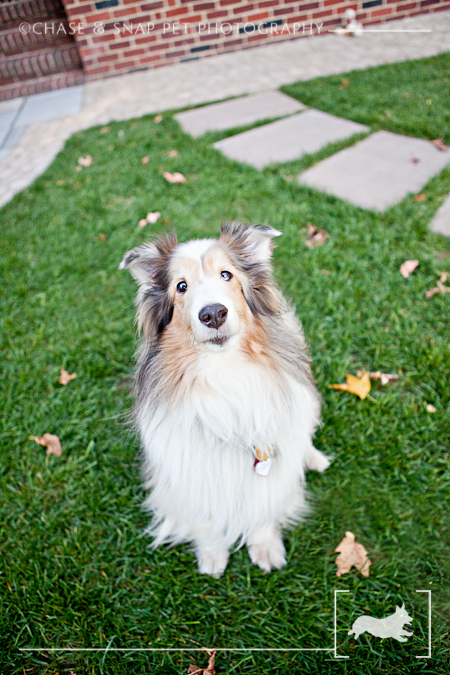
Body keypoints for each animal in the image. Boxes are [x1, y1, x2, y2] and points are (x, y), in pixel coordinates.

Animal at [120, 222, 330, 576]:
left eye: (226, 275)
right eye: (181, 286)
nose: (213, 314)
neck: (223, 372)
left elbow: (264, 504)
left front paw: (266, 547)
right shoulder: (193, 468)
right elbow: (207, 519)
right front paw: (212, 554)